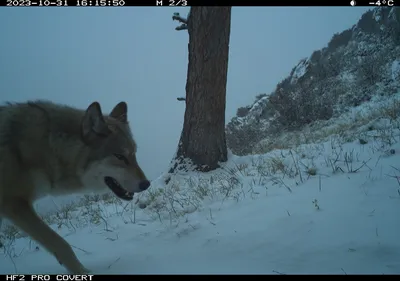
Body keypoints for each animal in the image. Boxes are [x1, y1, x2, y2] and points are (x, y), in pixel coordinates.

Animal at [0, 99, 151, 272]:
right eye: (120, 157)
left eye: (134, 154)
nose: (146, 184)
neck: (47, 147)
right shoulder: (14, 203)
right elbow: (60, 243)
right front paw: (82, 272)